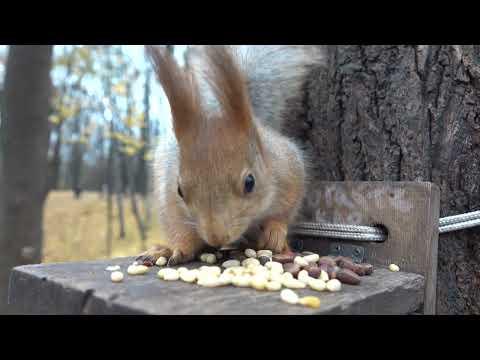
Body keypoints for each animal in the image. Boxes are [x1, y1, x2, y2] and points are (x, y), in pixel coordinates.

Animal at [136, 45, 326, 266]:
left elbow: (286, 209)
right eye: (180, 190)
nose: (216, 237)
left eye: (250, 182)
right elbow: (179, 227)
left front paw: (275, 231)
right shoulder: (169, 193)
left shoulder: (289, 169)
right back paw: (162, 250)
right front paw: (179, 249)